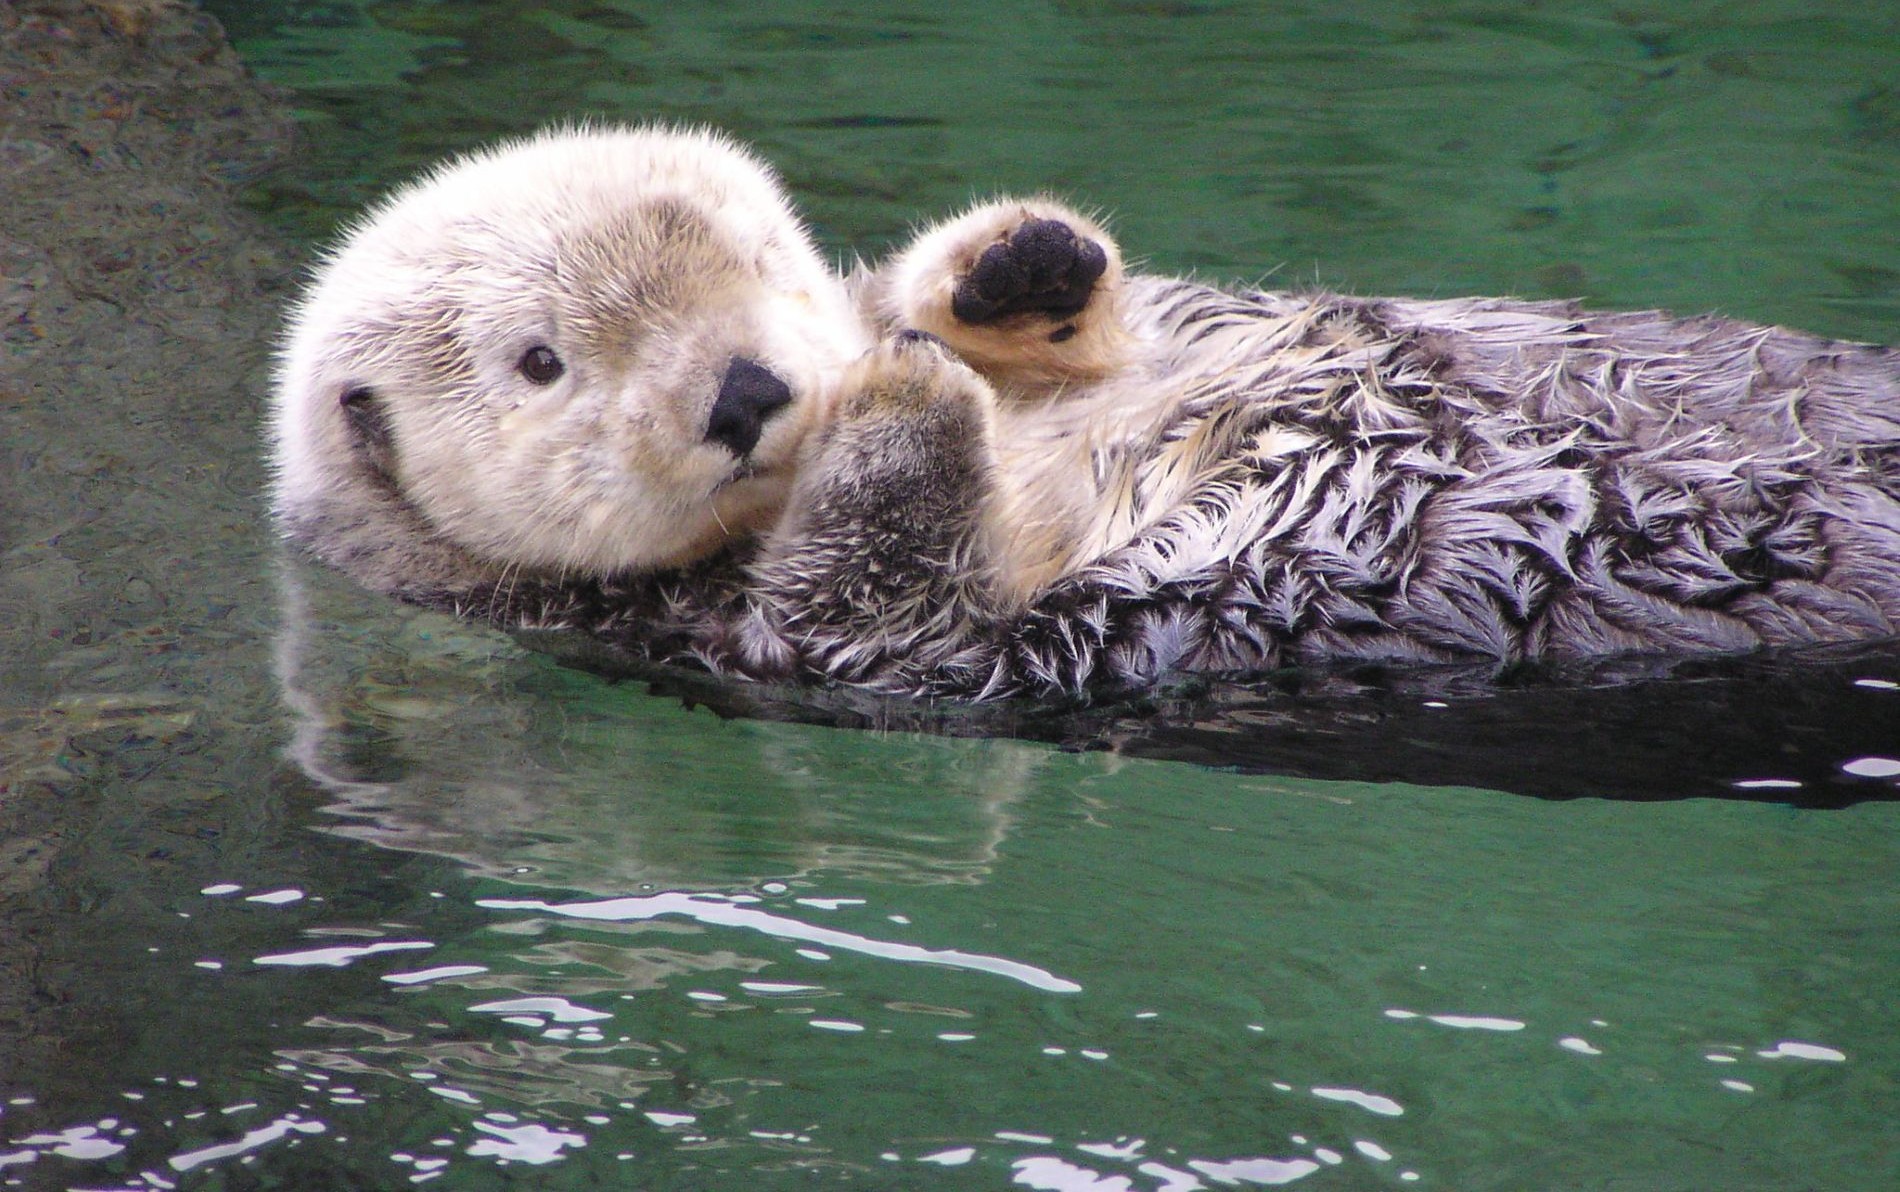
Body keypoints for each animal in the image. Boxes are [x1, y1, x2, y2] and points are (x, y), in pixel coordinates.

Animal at [271, 125, 1900, 699]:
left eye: (751, 254)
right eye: (542, 363)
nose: (751, 388)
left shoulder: (1167, 332)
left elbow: (1096, 312)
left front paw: (1004, 270)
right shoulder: (777, 640)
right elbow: (866, 604)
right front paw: (906, 391)